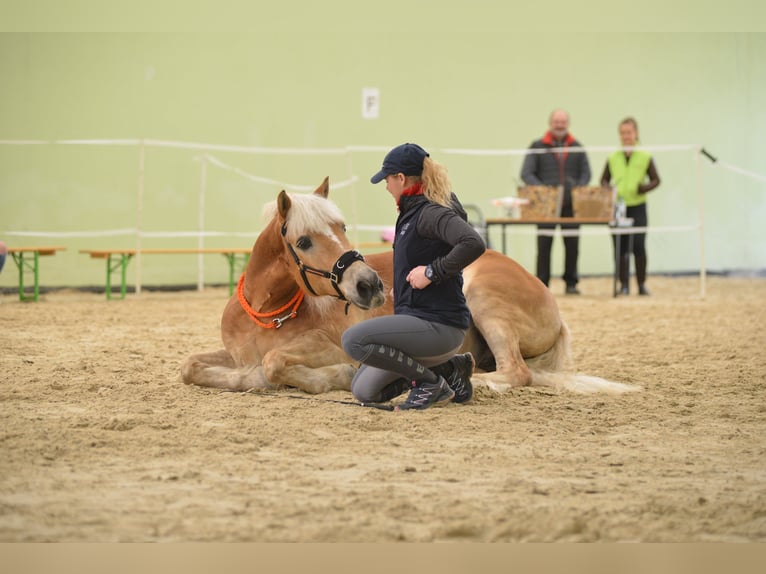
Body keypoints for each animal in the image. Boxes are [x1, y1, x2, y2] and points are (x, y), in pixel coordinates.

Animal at [183, 179, 640, 396]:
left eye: (341, 227)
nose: (368, 284)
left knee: (517, 372)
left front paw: (330, 377)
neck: (267, 314)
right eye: (304, 241)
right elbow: (190, 366)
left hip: (486, 303)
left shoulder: (326, 345)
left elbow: (276, 362)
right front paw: (243, 378)